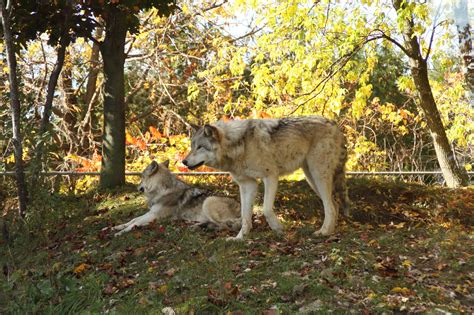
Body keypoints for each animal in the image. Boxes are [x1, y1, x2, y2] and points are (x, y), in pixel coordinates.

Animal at [113, 160, 243, 237]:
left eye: (141, 177)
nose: (136, 187)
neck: (163, 190)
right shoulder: (151, 213)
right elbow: (133, 220)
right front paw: (118, 227)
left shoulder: (154, 216)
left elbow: (134, 223)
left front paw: (121, 232)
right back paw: (196, 226)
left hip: (208, 201)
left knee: (225, 226)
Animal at [183, 116, 350, 242]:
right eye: (192, 146)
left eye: (200, 147)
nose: (184, 162)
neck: (240, 145)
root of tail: (334, 124)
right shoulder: (247, 184)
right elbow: (245, 215)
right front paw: (240, 238)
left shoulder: (270, 176)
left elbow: (266, 209)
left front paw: (277, 228)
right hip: (312, 178)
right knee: (334, 204)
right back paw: (329, 231)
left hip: (318, 175)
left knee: (330, 206)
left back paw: (323, 232)